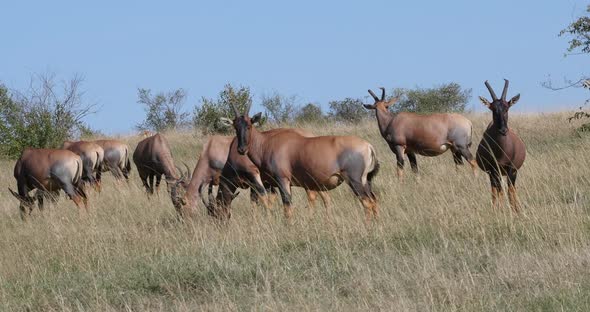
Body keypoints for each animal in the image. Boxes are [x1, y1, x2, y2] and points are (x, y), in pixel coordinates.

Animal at [224, 102, 382, 222]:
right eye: (235, 127)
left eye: (249, 125)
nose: (241, 149)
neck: (267, 142)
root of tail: (368, 146)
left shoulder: (282, 180)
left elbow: (287, 206)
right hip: (366, 181)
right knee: (374, 200)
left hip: (354, 181)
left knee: (367, 202)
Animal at [476, 80, 528, 212]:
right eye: (493, 109)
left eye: (507, 108)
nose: (503, 130)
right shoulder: (494, 170)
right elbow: (498, 191)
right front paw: (497, 210)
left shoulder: (511, 169)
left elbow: (509, 191)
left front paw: (514, 210)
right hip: (493, 174)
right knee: (496, 189)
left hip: (512, 173)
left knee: (511, 189)